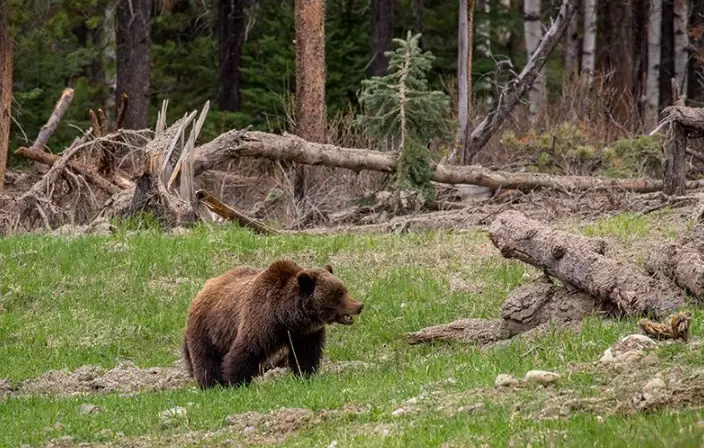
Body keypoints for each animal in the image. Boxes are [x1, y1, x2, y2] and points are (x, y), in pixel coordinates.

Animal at [181, 259, 363, 388]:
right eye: (338, 293)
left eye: (344, 289)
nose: (359, 306)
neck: (286, 316)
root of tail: (202, 289)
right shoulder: (261, 320)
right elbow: (245, 351)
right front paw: (234, 382)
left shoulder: (305, 333)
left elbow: (306, 355)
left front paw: (306, 376)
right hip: (208, 327)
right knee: (206, 359)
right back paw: (210, 384)